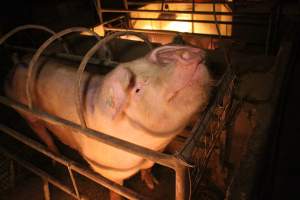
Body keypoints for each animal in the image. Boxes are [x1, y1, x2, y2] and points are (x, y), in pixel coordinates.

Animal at [4, 44, 211, 199]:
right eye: (137, 89)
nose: (186, 54)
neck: (148, 148)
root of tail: (18, 63)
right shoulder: (106, 168)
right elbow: (116, 188)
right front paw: (119, 196)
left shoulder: (156, 154)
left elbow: (148, 169)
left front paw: (152, 185)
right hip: (26, 113)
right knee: (43, 134)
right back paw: (56, 158)